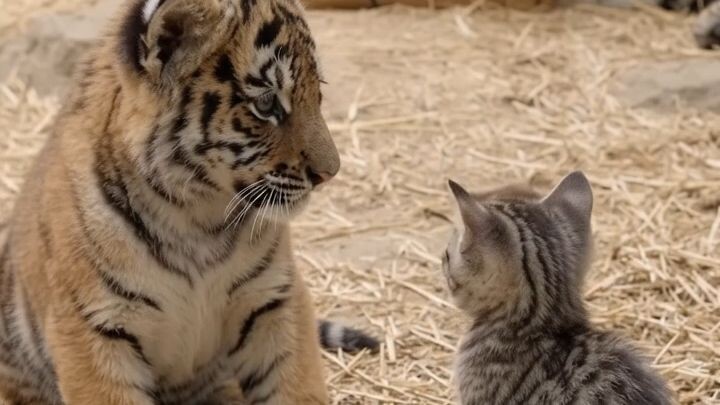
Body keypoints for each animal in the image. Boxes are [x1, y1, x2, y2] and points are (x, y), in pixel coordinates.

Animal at [0, 0, 378, 403]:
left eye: (317, 90)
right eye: (266, 103)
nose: (330, 173)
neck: (194, 214)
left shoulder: (273, 298)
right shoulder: (95, 327)